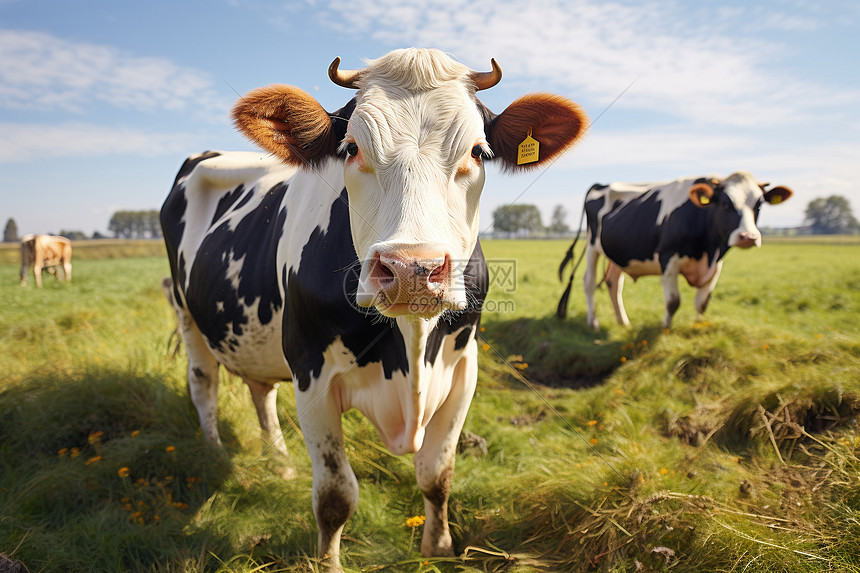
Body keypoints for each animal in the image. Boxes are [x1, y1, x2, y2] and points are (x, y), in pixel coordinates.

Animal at [160, 49, 592, 568]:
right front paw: (328, 563)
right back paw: (217, 453)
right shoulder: (311, 371)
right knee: (203, 382)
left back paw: (280, 463)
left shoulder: (463, 367)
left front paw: (438, 549)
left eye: (478, 152)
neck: (411, 350)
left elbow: (437, 474)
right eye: (351, 148)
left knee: (260, 391)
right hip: (185, 309)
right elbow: (335, 497)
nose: (411, 268)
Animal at [556, 170, 792, 328]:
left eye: (758, 205)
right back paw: (593, 322)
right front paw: (666, 329)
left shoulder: (716, 266)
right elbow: (673, 302)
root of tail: (600, 185)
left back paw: (623, 322)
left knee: (613, 283)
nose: (748, 237)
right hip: (592, 246)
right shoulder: (668, 258)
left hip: (617, 253)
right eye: (725, 203)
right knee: (588, 282)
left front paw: (698, 326)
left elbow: (702, 303)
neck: (708, 250)